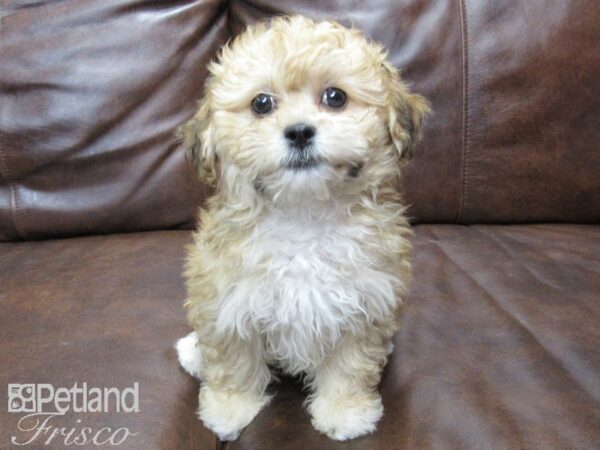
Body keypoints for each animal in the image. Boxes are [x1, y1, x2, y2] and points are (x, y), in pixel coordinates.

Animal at [176, 15, 428, 442]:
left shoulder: (367, 303)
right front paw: (230, 409)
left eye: (335, 97)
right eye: (261, 103)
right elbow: (232, 359)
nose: (298, 131)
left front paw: (345, 412)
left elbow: (351, 364)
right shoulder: (226, 299)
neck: (303, 214)